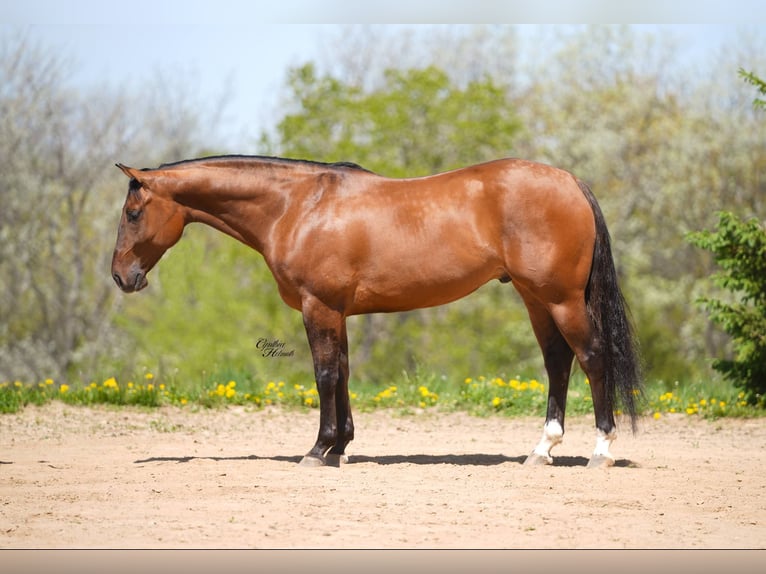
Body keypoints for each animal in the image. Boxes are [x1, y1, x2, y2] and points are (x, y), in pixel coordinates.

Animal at [111, 155, 642, 468]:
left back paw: (601, 450)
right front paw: (341, 447)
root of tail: (570, 181)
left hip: (561, 298)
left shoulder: (319, 307)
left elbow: (325, 374)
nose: (121, 277)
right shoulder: (337, 312)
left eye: (132, 214)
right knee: (558, 362)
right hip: (536, 299)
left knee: (593, 358)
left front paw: (318, 449)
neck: (297, 206)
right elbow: (343, 372)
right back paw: (541, 449)